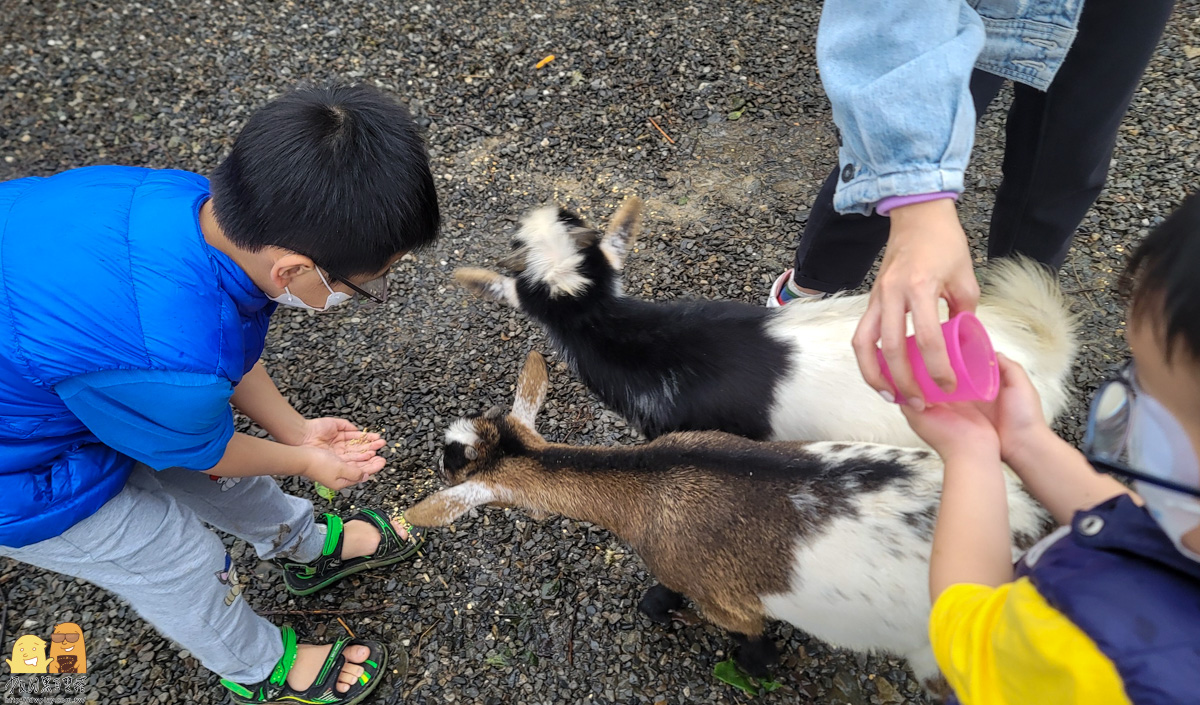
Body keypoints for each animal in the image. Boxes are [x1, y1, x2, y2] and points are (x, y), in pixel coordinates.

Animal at [405, 350, 1051, 690]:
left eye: (450, 469)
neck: (648, 488)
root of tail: (1032, 527)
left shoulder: (728, 601)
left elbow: (748, 636)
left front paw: (752, 665)